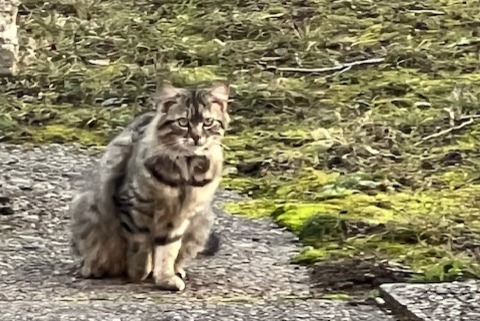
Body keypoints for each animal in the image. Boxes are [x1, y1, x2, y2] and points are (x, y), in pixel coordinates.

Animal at [69, 82, 231, 290]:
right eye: (183, 122)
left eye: (208, 122)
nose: (196, 137)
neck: (186, 171)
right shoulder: (134, 206)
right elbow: (140, 246)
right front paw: (140, 272)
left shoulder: (178, 219)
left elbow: (167, 251)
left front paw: (165, 277)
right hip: (88, 211)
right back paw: (95, 269)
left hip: (202, 221)